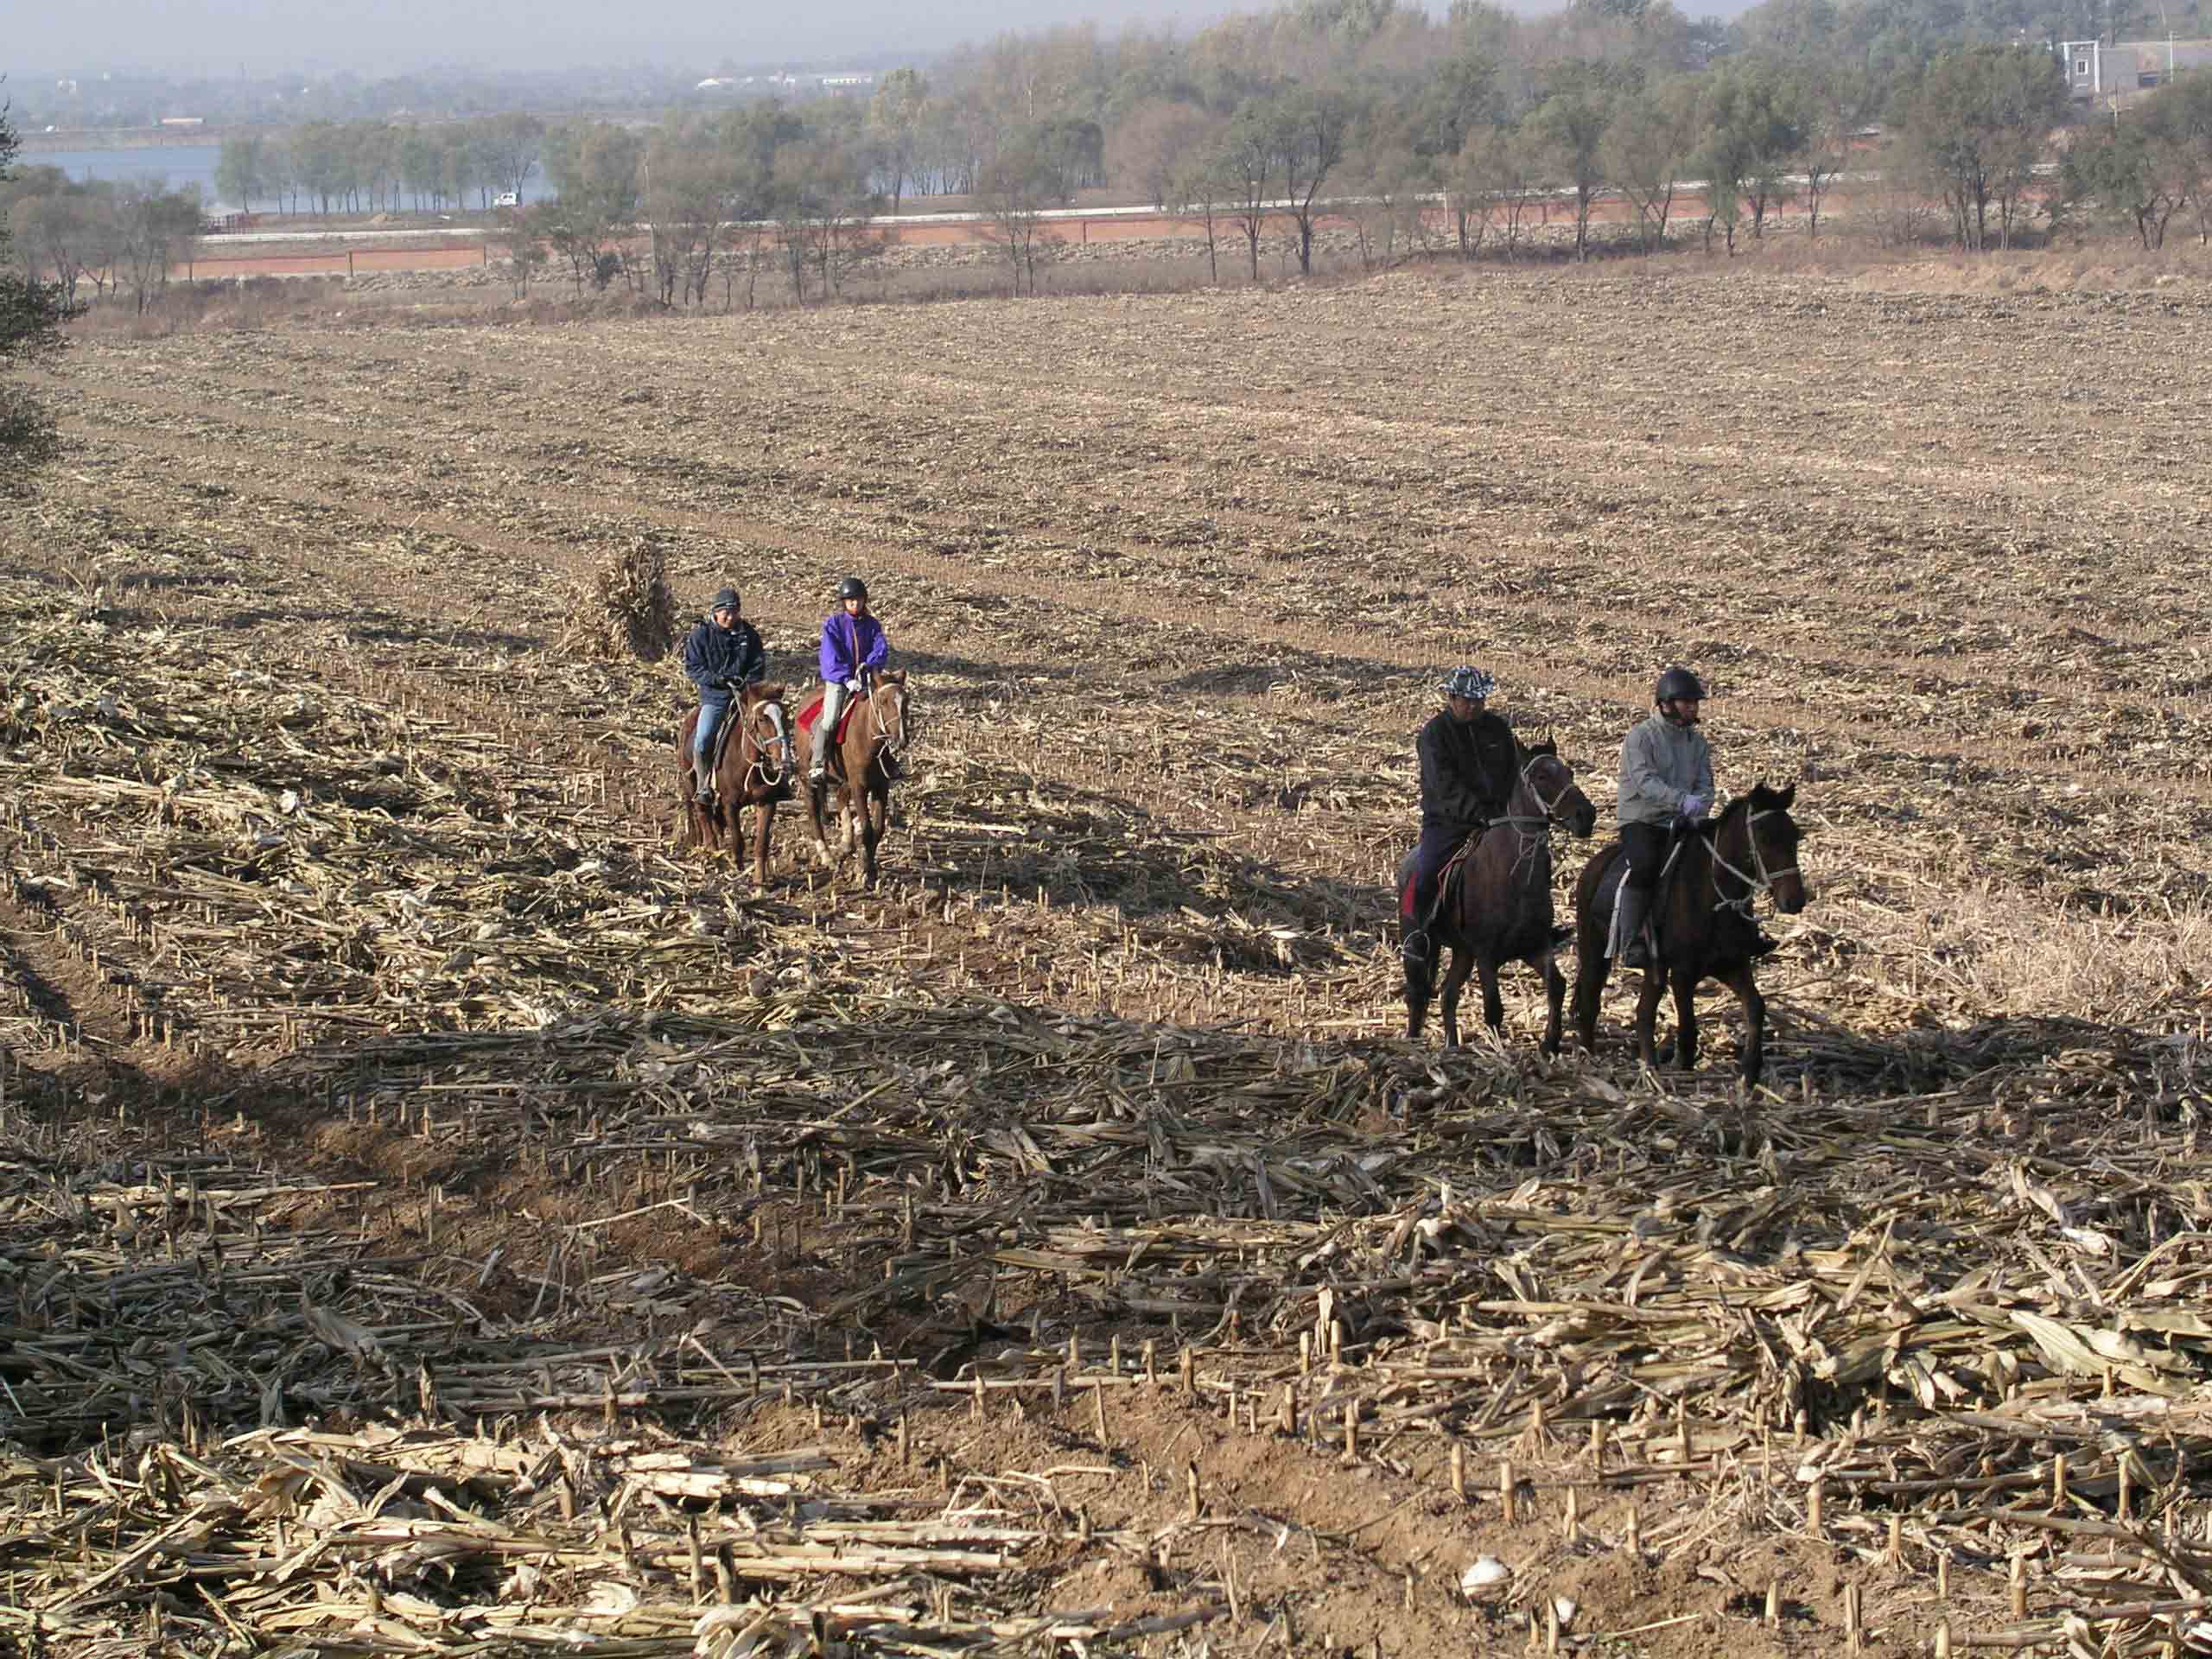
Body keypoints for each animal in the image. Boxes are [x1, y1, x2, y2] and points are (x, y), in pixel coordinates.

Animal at [681, 681, 804, 889]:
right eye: (762, 719)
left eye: (785, 715)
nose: (784, 760)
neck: (748, 763)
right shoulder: (730, 804)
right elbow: (738, 841)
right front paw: (738, 872)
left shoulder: (767, 802)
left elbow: (761, 843)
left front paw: (759, 879)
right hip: (691, 783)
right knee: (702, 813)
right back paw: (712, 851)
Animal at [800, 668, 911, 889]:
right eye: (883, 701)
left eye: (906, 700)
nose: (901, 739)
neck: (868, 739)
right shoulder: (859, 787)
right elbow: (867, 829)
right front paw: (865, 873)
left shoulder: (880, 787)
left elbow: (878, 829)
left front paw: (868, 868)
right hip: (809, 779)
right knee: (812, 810)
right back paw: (826, 855)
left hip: (845, 781)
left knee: (841, 799)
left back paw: (846, 843)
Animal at [1397, 739, 1592, 1052]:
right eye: (1541, 776)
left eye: (1569, 772)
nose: (1586, 816)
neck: (1514, 879)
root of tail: (1408, 863)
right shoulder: (1486, 956)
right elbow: (1493, 1009)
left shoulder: (1535, 947)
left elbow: (1557, 985)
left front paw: (1550, 1042)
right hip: (1419, 945)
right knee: (1417, 995)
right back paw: (1415, 1042)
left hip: (1462, 953)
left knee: (1448, 995)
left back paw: (1452, 1045)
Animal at [1566, 783, 1804, 1092]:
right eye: (1763, 836)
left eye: (1795, 835)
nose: (1795, 900)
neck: (1713, 897)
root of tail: (1594, 865)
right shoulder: (1682, 973)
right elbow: (1689, 1025)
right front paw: (1685, 1069)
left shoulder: (1733, 965)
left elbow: (1755, 1007)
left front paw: (1750, 1073)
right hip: (1594, 951)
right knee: (1591, 1003)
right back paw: (1589, 1059)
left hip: (1652, 968)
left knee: (1643, 1013)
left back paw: (1649, 1068)